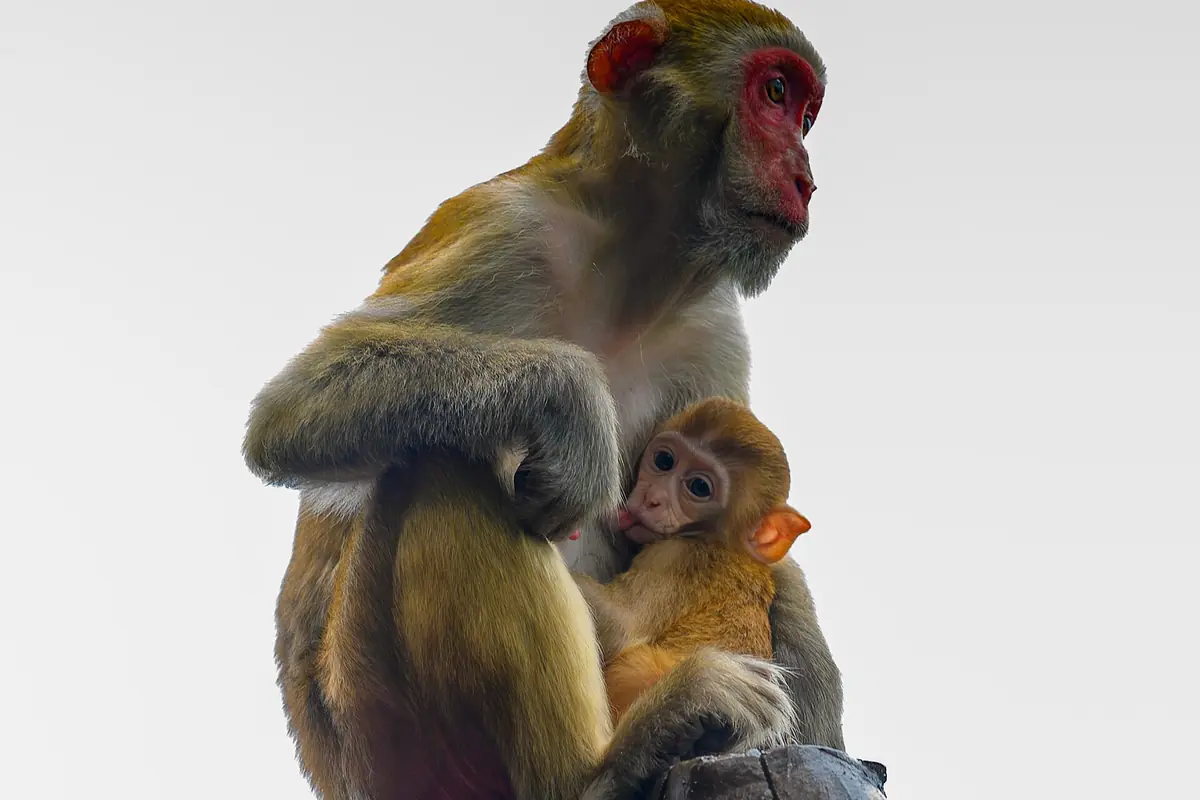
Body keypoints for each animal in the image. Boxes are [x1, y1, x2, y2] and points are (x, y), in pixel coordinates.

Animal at [571, 396, 814, 723]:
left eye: (699, 487)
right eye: (664, 461)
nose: (652, 498)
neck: (717, 541)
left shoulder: (679, 557)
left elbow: (619, 624)